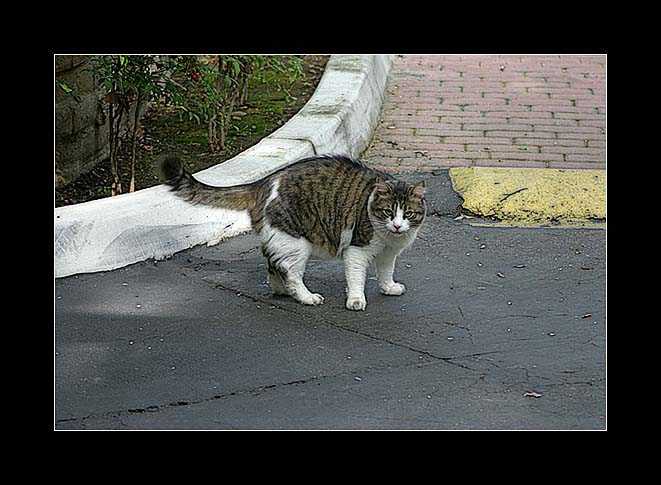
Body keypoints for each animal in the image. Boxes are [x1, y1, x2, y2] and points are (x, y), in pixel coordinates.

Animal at [160, 154, 428, 310]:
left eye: (408, 214)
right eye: (387, 212)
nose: (397, 225)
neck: (389, 238)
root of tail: (263, 182)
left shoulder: (388, 253)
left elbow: (385, 272)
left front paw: (388, 287)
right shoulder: (357, 250)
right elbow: (356, 277)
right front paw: (355, 299)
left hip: (282, 239)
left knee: (273, 261)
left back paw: (280, 289)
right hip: (297, 243)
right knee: (291, 272)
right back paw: (306, 297)